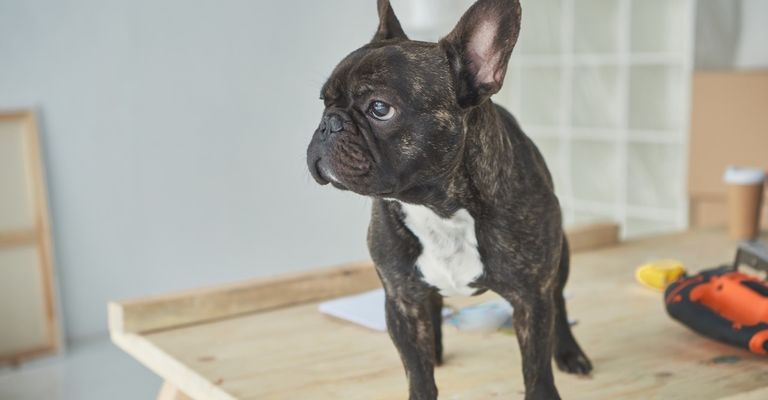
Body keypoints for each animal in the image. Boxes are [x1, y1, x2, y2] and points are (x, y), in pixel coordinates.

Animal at [306, 1, 592, 398]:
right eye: (324, 102)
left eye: (379, 108)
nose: (328, 124)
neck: (438, 207)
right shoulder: (402, 299)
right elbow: (417, 371)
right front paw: (425, 368)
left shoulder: (532, 298)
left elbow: (536, 370)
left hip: (558, 260)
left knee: (560, 303)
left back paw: (569, 352)